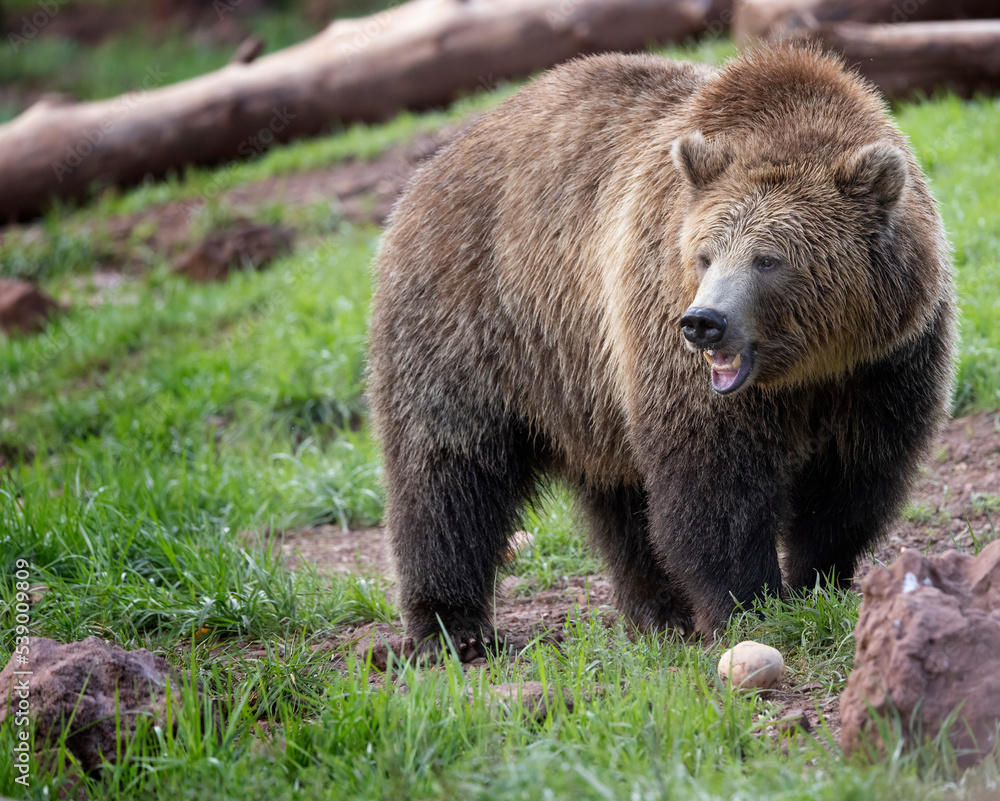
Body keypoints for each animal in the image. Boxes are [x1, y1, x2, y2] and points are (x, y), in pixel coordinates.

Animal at [366, 43, 952, 656]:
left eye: (768, 259)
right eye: (705, 254)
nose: (704, 323)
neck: (807, 367)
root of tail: (426, 172)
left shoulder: (883, 365)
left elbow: (853, 483)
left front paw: (819, 582)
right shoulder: (672, 342)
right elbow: (713, 485)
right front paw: (749, 607)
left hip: (586, 381)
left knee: (620, 497)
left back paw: (657, 610)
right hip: (472, 323)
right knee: (447, 472)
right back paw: (450, 627)